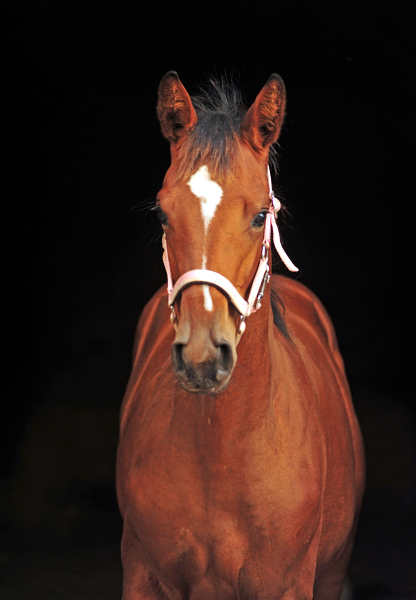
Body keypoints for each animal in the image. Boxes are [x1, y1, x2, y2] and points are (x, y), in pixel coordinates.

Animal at [116, 71, 364, 600]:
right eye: (163, 214)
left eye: (258, 216)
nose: (203, 357)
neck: (222, 451)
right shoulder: (142, 576)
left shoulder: (288, 584)